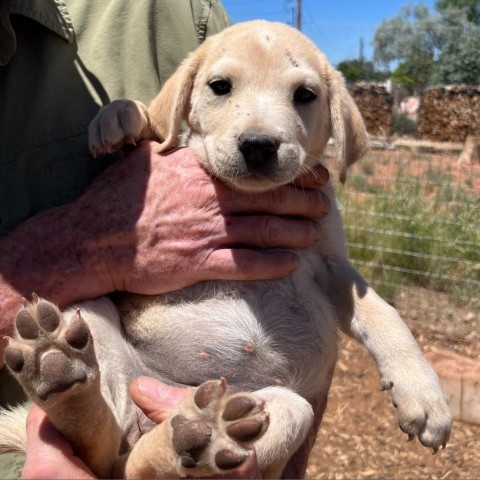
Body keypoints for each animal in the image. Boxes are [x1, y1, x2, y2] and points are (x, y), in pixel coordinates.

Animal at [0, 20, 452, 478]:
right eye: (220, 87)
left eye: (305, 95)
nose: (258, 145)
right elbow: (161, 132)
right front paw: (123, 117)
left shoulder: (332, 264)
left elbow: (384, 314)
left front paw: (423, 395)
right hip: (90, 312)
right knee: (109, 449)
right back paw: (59, 367)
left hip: (278, 408)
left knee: (136, 459)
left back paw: (197, 431)